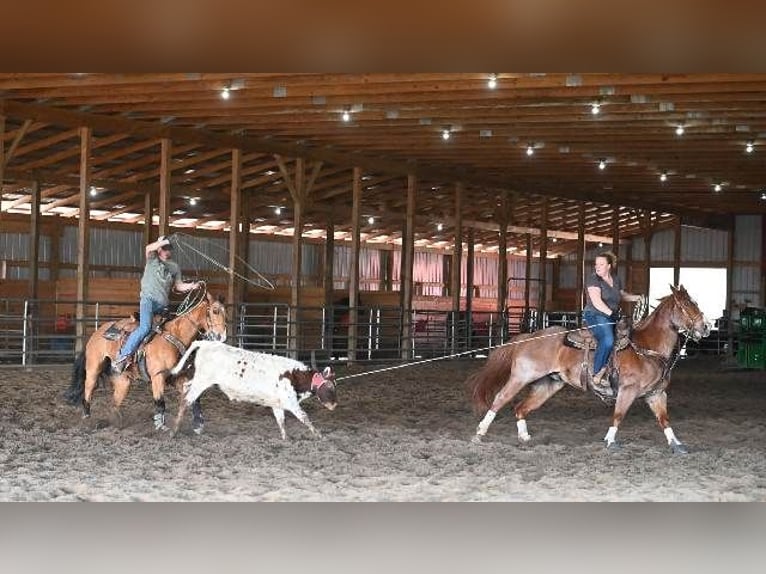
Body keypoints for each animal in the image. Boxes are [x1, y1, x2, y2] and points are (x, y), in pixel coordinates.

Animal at [65, 288, 228, 432]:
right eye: (215, 311)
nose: (222, 336)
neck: (176, 336)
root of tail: (96, 333)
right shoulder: (158, 376)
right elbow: (160, 402)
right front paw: (161, 427)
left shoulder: (177, 377)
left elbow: (193, 397)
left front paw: (198, 424)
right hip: (93, 370)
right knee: (88, 392)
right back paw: (87, 419)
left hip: (123, 381)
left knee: (114, 403)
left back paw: (115, 421)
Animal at [171, 342, 340, 440]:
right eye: (330, 386)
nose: (335, 405)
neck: (292, 375)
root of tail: (206, 343)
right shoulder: (290, 402)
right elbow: (304, 417)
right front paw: (319, 435)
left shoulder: (277, 404)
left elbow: (281, 421)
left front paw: (285, 438)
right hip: (202, 381)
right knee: (186, 400)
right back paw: (174, 431)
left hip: (200, 380)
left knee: (185, 388)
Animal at [468, 284, 712, 454]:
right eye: (685, 306)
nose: (706, 327)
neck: (646, 347)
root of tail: (529, 336)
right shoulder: (628, 390)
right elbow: (618, 416)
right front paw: (610, 441)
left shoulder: (656, 394)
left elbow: (664, 420)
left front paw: (676, 444)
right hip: (521, 377)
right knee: (500, 399)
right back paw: (479, 434)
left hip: (548, 385)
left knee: (520, 408)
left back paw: (524, 437)